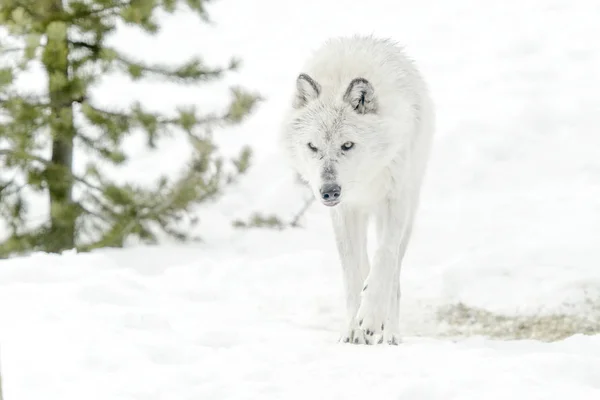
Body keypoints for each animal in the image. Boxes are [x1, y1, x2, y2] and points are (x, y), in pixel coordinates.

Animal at [278, 36, 434, 346]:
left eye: (347, 145)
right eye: (312, 146)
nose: (328, 191)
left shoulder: (394, 201)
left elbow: (384, 258)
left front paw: (372, 317)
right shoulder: (345, 212)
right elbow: (352, 274)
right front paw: (354, 329)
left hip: (408, 210)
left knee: (393, 275)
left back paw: (390, 332)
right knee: (362, 266)